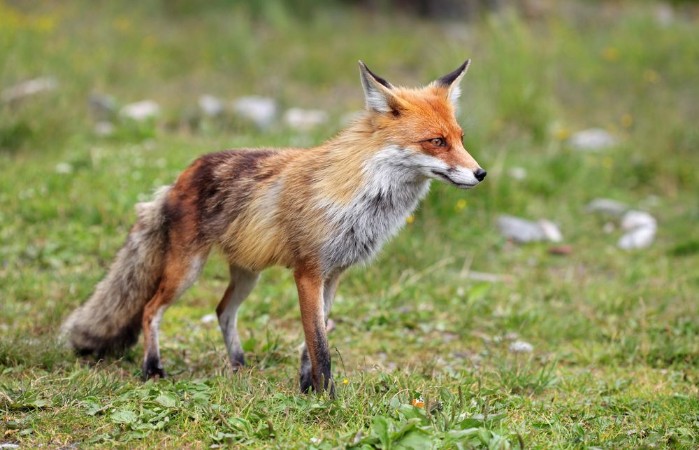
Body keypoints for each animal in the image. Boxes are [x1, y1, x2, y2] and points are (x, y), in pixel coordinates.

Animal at [61, 59, 486, 394]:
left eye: (461, 138)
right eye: (436, 141)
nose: (481, 173)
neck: (362, 199)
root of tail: (180, 176)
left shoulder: (333, 275)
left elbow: (311, 342)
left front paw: (307, 387)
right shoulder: (308, 272)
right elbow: (319, 345)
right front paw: (327, 399)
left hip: (248, 274)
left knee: (222, 311)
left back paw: (237, 364)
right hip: (186, 270)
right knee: (151, 309)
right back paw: (152, 368)